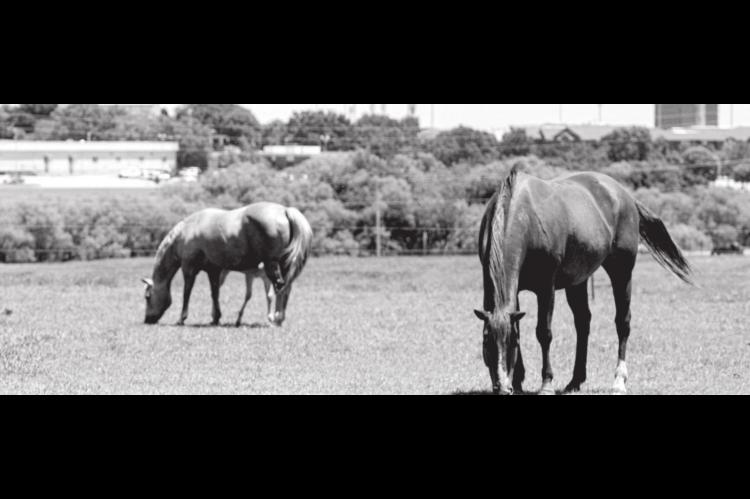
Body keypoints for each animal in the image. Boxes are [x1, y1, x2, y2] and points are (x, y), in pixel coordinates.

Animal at [142, 202, 313, 326]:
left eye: (148, 297)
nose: (147, 320)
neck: (187, 231)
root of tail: (285, 210)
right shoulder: (214, 270)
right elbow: (215, 293)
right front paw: (216, 318)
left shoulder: (189, 269)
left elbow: (187, 292)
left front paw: (181, 319)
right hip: (284, 265)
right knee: (286, 288)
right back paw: (279, 318)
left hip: (272, 265)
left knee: (280, 287)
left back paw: (277, 319)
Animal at [476, 166, 692, 395]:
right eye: (486, 341)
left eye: (511, 344)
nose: (501, 387)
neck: (524, 217)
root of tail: (625, 195)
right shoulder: (514, 290)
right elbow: (518, 325)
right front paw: (518, 382)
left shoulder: (546, 288)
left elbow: (544, 332)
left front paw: (546, 383)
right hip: (578, 281)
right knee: (583, 322)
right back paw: (575, 381)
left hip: (622, 272)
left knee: (622, 322)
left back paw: (619, 380)